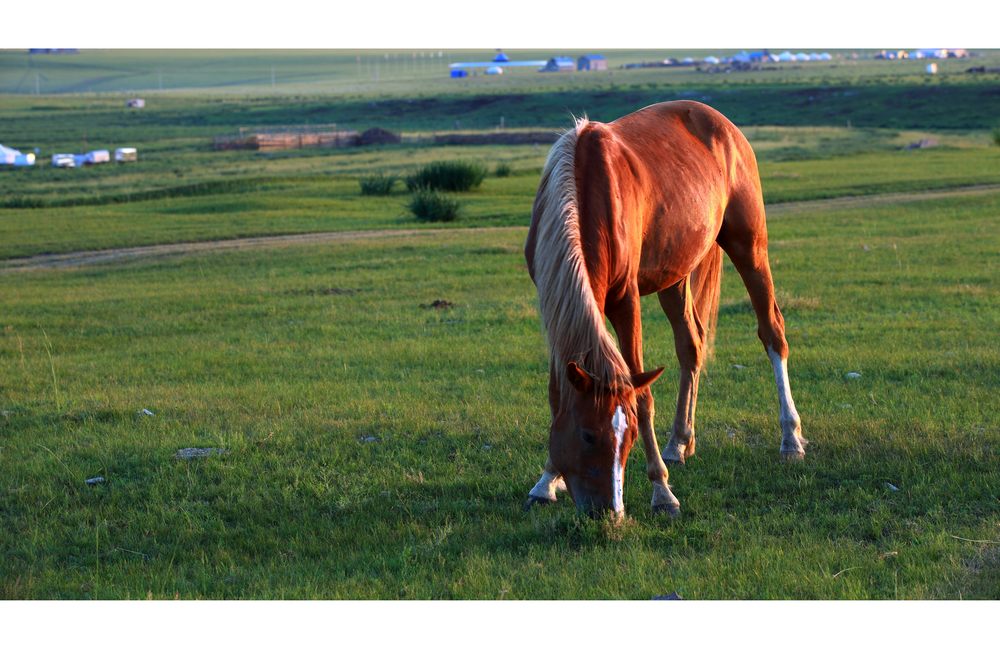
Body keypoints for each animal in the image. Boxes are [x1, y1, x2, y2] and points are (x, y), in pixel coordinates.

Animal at [524, 99, 804, 520]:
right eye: (587, 436)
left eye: (629, 437)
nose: (609, 512)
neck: (584, 192)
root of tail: (721, 123)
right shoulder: (551, 300)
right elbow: (558, 393)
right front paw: (546, 480)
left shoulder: (625, 300)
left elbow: (641, 396)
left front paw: (661, 491)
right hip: (676, 276)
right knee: (691, 347)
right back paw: (679, 442)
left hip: (749, 246)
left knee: (772, 333)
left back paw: (790, 437)